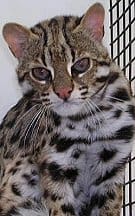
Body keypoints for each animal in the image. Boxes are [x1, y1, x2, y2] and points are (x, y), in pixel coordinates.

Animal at [0, 2, 135, 216]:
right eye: (40, 73)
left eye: (81, 65)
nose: (63, 92)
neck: (87, 122)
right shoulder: (55, 166)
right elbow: (61, 207)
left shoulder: (113, 163)